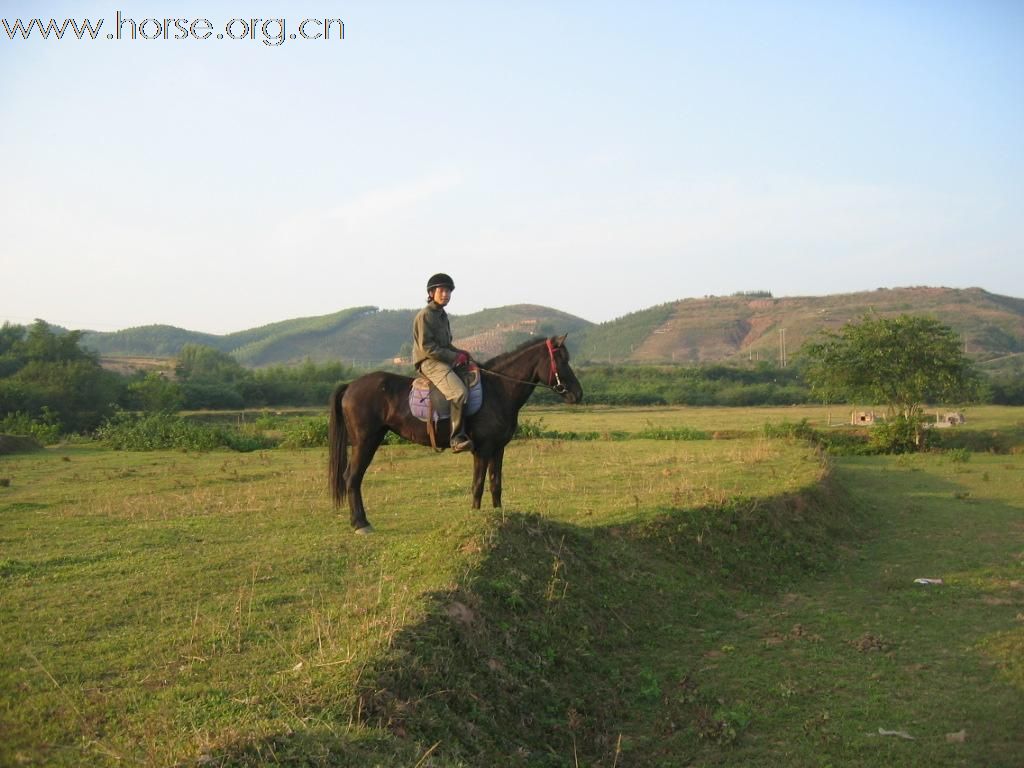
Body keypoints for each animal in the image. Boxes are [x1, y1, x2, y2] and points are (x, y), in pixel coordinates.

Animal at [327, 333, 585, 532]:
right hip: (365, 441)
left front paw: (499, 515)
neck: (499, 390)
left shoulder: (498, 449)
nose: (578, 394)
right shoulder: (482, 450)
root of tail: (350, 386)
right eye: (561, 360)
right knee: (352, 477)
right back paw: (361, 523)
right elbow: (478, 485)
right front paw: (476, 517)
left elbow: (496, 484)